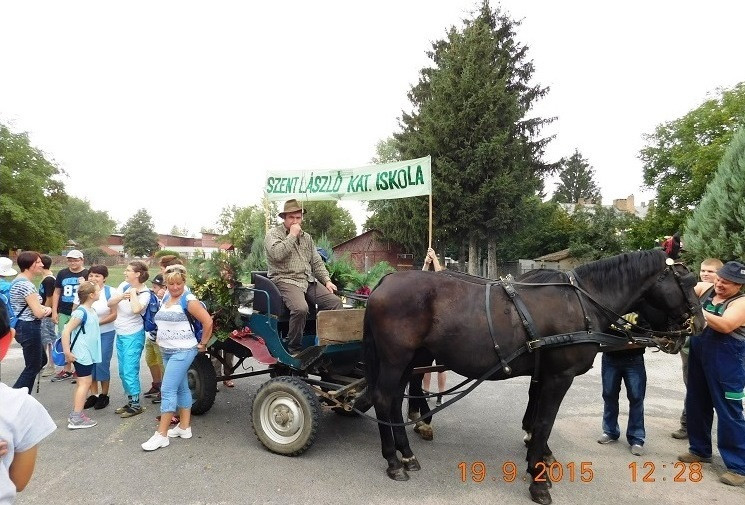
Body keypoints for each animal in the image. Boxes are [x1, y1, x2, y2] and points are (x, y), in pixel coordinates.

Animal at [361, 250, 704, 505]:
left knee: (394, 400)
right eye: (686, 281)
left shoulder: (543, 374)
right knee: (383, 399)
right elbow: (543, 423)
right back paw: (394, 461)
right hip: (396, 359)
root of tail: (384, 282)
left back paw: (407, 454)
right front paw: (539, 480)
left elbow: (536, 415)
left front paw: (537, 458)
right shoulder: (559, 377)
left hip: (410, 359)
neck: (581, 302)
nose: (698, 324)